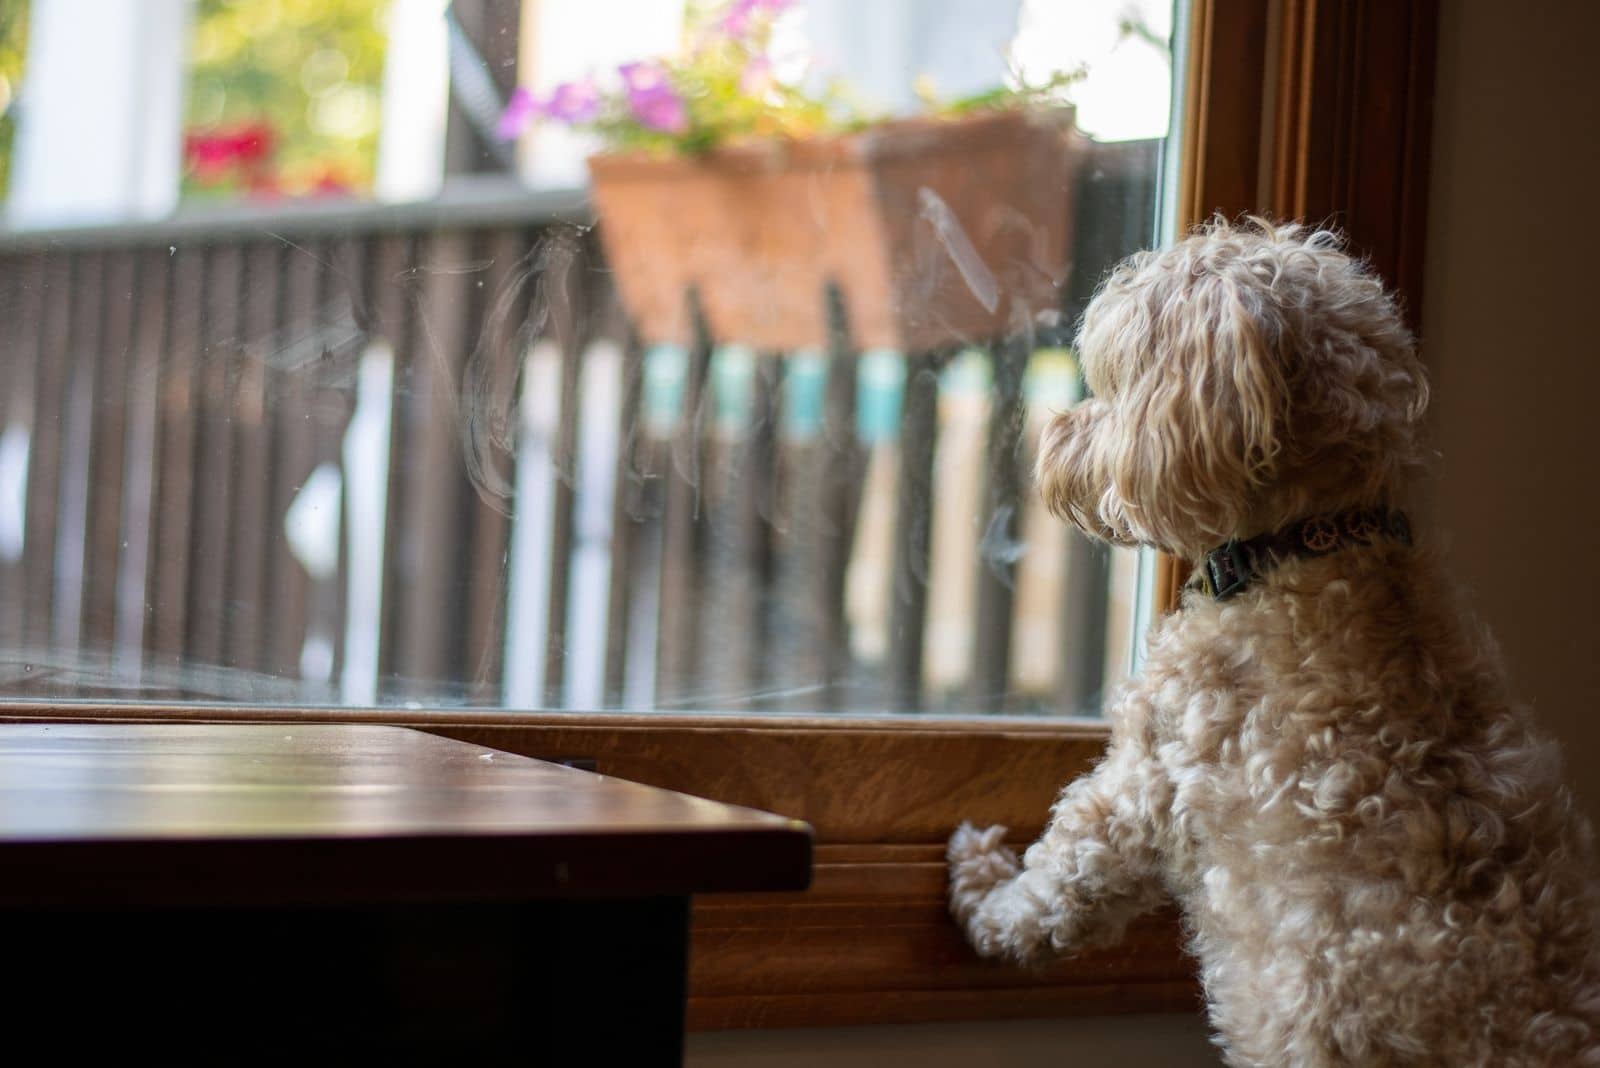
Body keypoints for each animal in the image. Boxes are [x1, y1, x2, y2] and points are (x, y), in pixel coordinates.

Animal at [940, 219, 1600, 1068]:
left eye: (1115, 380)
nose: (1053, 439)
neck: (1308, 549)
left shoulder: (1147, 777)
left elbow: (1063, 878)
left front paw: (981, 889)